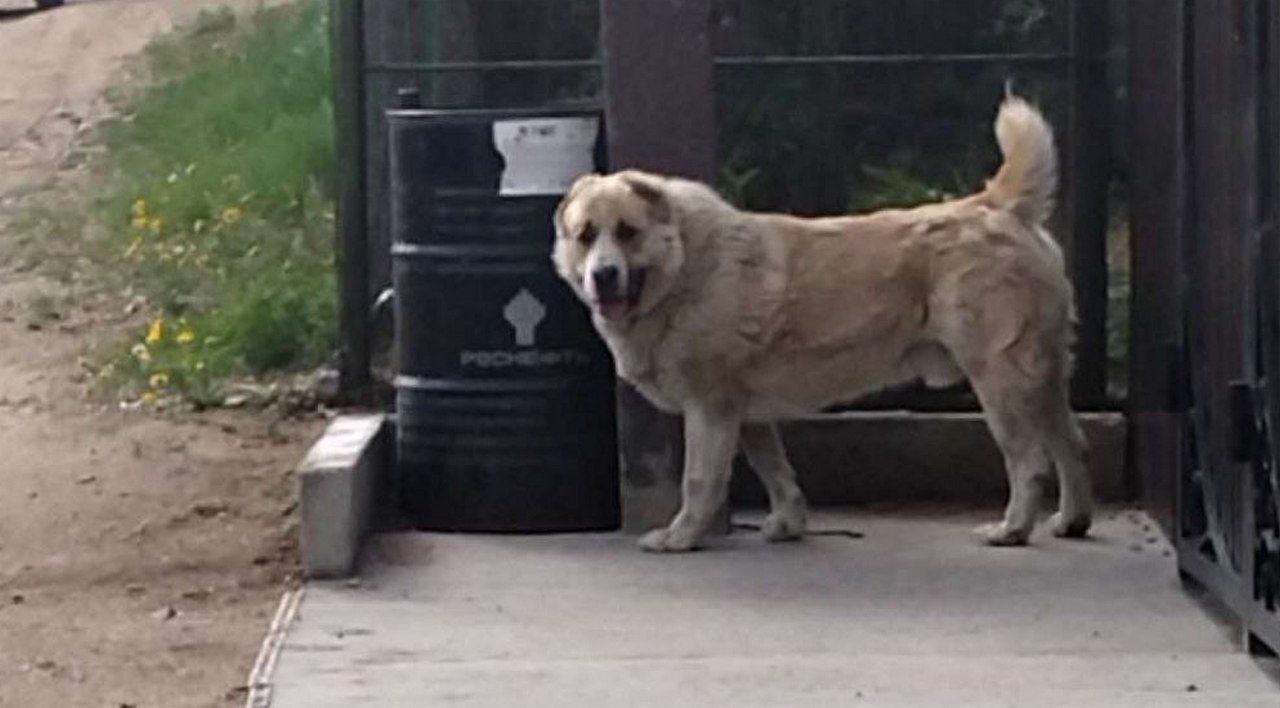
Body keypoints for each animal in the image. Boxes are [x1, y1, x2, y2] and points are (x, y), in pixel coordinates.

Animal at [550, 95, 1090, 553]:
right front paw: (790, 523)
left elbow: (700, 480)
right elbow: (775, 468)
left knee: (1029, 460)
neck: (686, 269)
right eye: (585, 235)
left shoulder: (710, 408)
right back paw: (1072, 521)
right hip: (1042, 379)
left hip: (999, 380)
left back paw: (1012, 529)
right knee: (1072, 444)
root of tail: (995, 205)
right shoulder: (746, 413)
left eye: (627, 232)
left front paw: (681, 536)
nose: (603, 275)